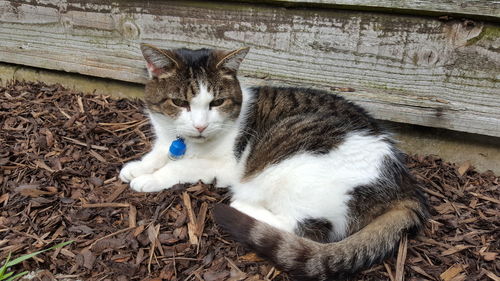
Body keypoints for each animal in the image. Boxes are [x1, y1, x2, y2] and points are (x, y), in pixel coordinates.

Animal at [121, 42, 430, 278]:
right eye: (180, 103)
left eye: (216, 103)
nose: (200, 126)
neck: (187, 141)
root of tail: (406, 186)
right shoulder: (166, 140)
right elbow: (158, 153)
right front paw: (136, 168)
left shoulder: (225, 167)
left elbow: (181, 165)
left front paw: (149, 179)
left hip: (287, 171)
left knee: (304, 228)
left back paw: (241, 206)